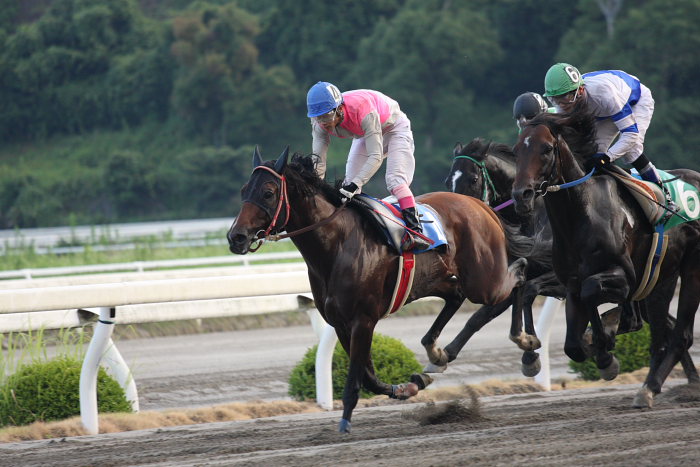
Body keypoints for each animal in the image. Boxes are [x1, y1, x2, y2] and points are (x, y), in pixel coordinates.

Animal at [227, 148, 528, 434]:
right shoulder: (340, 323)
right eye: (243, 191)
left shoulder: (363, 320)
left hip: (483, 282)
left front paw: (344, 425)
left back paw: (526, 342)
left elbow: (355, 379)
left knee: (518, 278)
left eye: (268, 193)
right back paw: (436, 355)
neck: (337, 245)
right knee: (457, 295)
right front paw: (406, 387)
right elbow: (368, 376)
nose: (236, 237)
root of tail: (480, 204)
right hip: (435, 280)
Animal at [508, 108, 700, 408]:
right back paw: (649, 385)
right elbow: (572, 344)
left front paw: (605, 352)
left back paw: (649, 387)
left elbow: (592, 293)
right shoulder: (571, 285)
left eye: (547, 148)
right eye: (516, 151)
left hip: (689, 271)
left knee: (677, 335)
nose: (521, 196)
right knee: (665, 336)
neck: (581, 214)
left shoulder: (624, 278)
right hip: (663, 277)